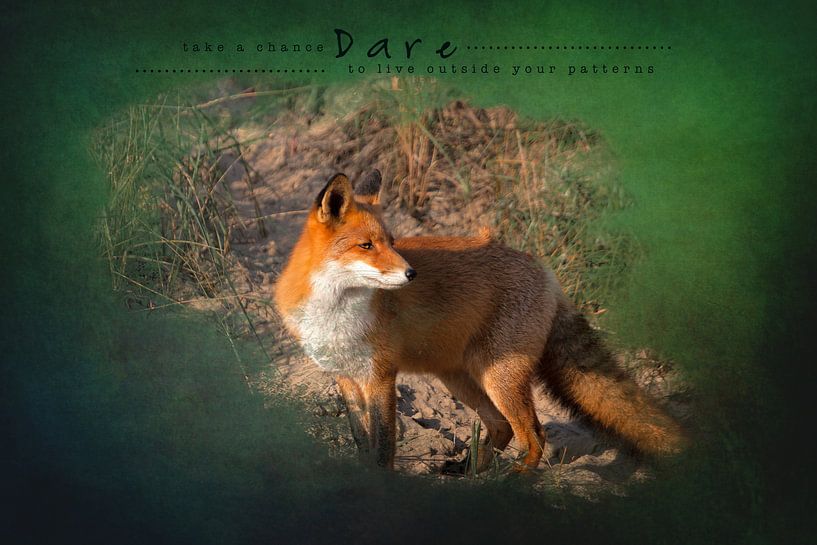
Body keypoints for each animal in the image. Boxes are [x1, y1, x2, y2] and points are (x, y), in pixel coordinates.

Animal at [274, 170, 685, 471]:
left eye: (392, 241)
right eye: (366, 246)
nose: (411, 274)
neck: (335, 314)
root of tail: (543, 269)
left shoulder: (381, 376)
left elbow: (384, 446)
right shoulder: (344, 376)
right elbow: (362, 442)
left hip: (498, 377)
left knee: (535, 435)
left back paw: (512, 480)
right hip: (461, 377)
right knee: (502, 427)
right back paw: (472, 471)